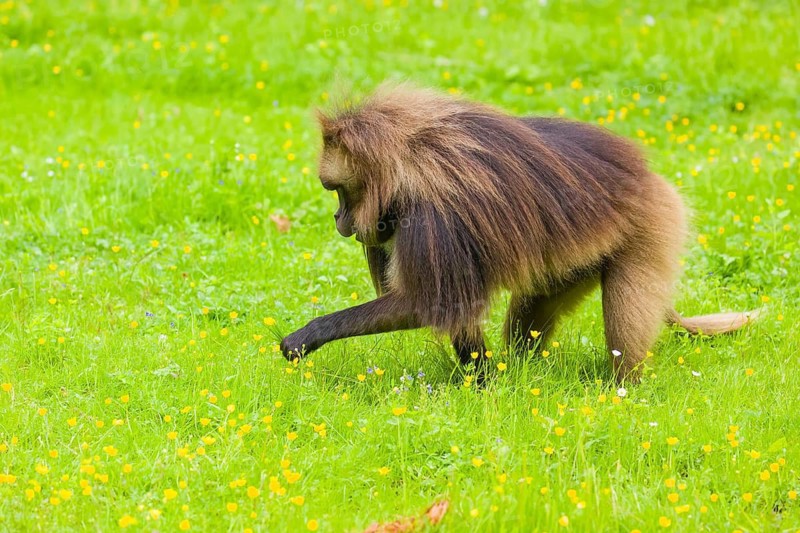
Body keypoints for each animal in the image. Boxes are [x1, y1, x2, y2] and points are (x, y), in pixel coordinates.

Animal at [280, 83, 756, 383]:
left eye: (338, 190)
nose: (338, 220)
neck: (405, 163)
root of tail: (652, 179)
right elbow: (458, 310)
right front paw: (482, 384)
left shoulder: (434, 219)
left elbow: (431, 304)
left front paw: (306, 336)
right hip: (574, 261)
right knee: (526, 321)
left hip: (651, 231)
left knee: (624, 323)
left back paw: (622, 391)